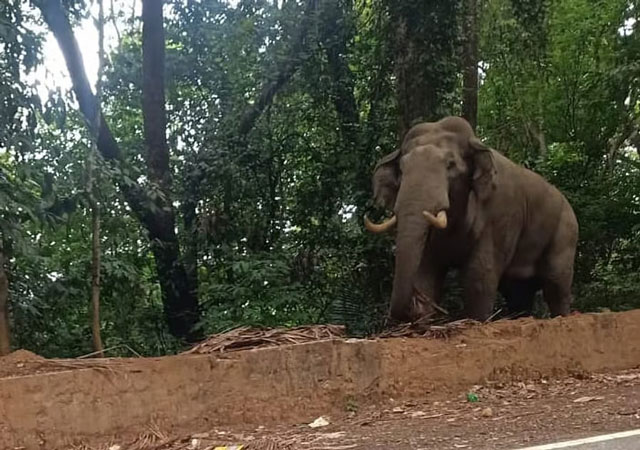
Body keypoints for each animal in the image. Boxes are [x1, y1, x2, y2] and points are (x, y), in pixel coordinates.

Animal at [364, 116, 578, 323]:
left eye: (450, 165)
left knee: (556, 284)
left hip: (565, 233)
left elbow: (480, 275)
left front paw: (475, 320)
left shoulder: (500, 214)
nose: (412, 309)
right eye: (401, 169)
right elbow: (425, 271)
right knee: (518, 292)